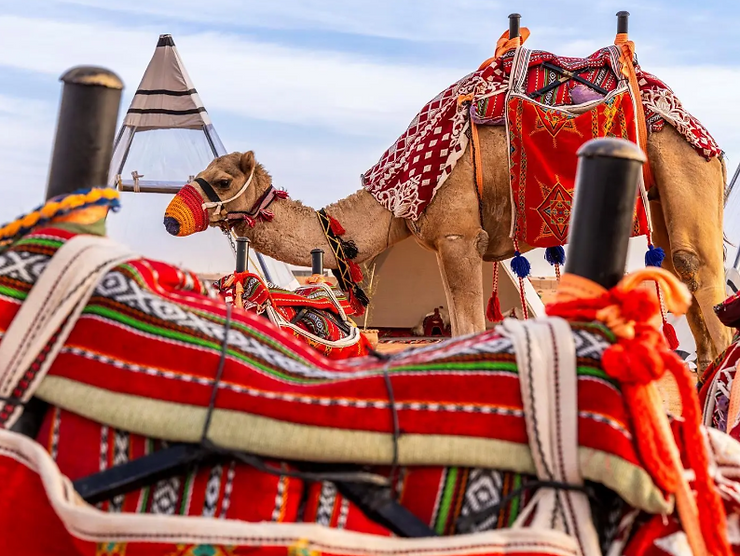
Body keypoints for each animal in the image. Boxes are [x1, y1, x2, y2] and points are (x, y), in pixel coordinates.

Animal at [164, 124, 730, 371]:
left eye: (220, 179)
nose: (170, 218)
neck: (390, 204)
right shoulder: (454, 248)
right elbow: (459, 328)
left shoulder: (458, 237)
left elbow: (468, 329)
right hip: (658, 195)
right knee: (685, 291)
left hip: (686, 167)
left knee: (702, 279)